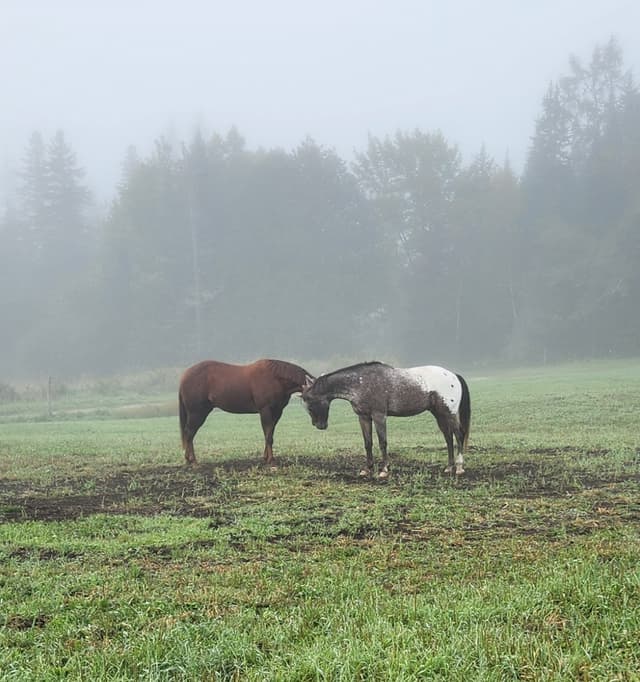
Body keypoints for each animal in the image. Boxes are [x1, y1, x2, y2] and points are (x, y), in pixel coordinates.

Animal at [179, 359, 314, 466]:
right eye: (312, 398)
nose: (318, 423)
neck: (275, 378)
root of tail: (184, 375)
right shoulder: (265, 410)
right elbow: (268, 436)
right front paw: (271, 460)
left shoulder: (277, 412)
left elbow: (269, 434)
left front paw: (266, 457)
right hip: (197, 413)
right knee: (189, 433)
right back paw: (193, 461)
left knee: (189, 434)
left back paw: (189, 460)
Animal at [301, 361, 471, 478]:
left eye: (310, 404)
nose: (320, 425)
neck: (360, 383)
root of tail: (454, 375)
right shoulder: (363, 418)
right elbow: (368, 443)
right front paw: (367, 469)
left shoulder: (379, 416)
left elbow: (382, 442)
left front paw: (384, 470)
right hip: (440, 415)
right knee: (448, 438)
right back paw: (449, 467)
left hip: (450, 414)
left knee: (459, 435)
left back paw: (459, 467)